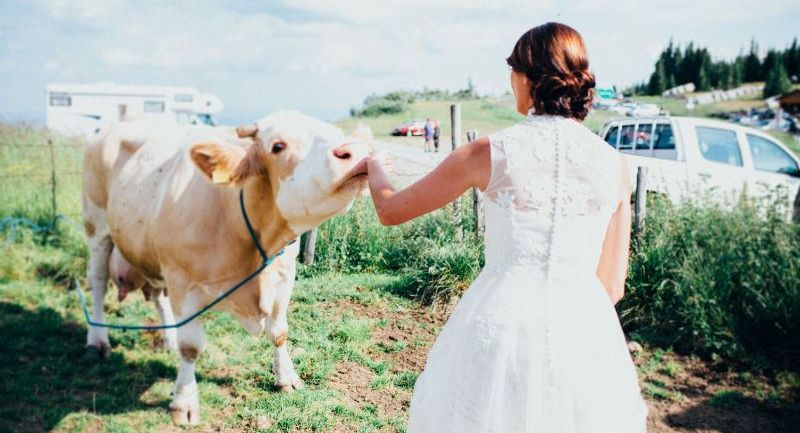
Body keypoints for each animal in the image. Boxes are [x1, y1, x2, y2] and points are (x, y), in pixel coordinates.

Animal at [81, 109, 368, 424]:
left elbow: (279, 331)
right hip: (97, 228)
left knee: (157, 295)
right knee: (98, 283)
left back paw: (168, 339)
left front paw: (286, 377)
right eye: (277, 146)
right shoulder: (183, 282)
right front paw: (185, 402)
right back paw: (98, 340)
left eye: (338, 134)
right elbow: (191, 346)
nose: (354, 151)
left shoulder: (284, 274)